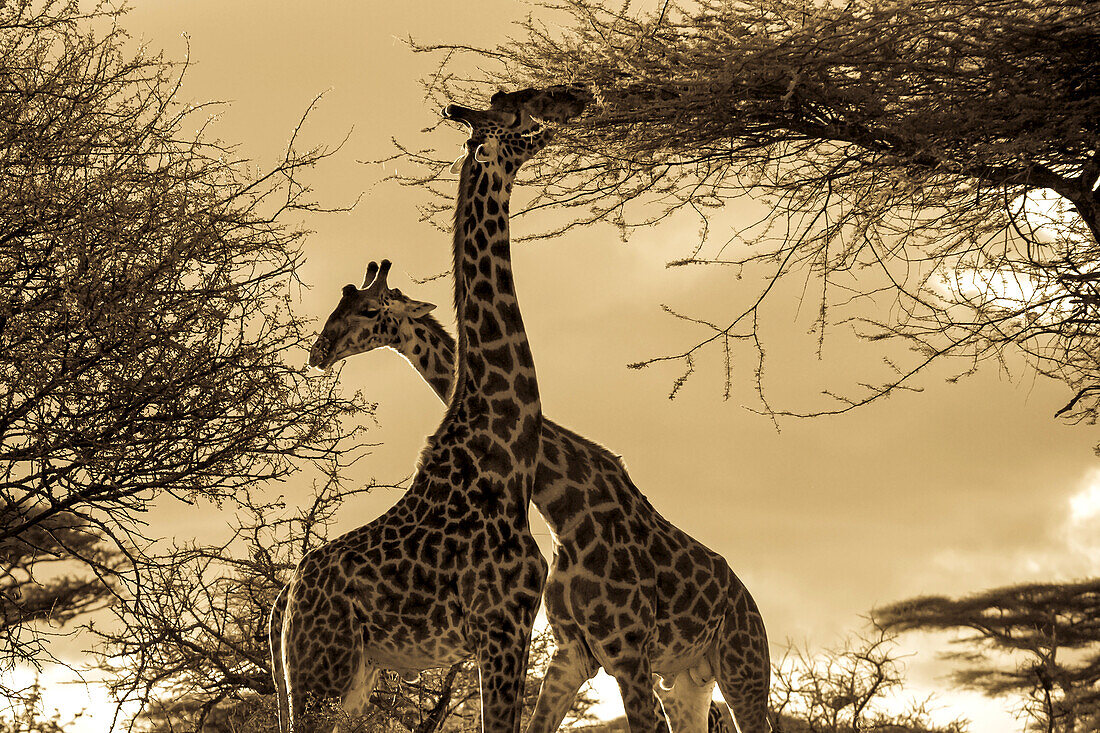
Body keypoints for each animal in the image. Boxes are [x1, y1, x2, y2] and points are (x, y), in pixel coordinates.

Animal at [271, 86, 589, 730]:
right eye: (514, 114)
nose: (572, 103)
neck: (505, 453)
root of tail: (284, 602)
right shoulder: (500, 625)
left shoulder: (508, 629)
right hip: (322, 672)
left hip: (344, 678)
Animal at [297, 258, 770, 730]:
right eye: (342, 300)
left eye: (369, 309)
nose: (319, 351)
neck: (563, 509)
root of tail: (747, 598)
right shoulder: (573, 653)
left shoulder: (628, 651)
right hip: (687, 681)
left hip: (743, 668)